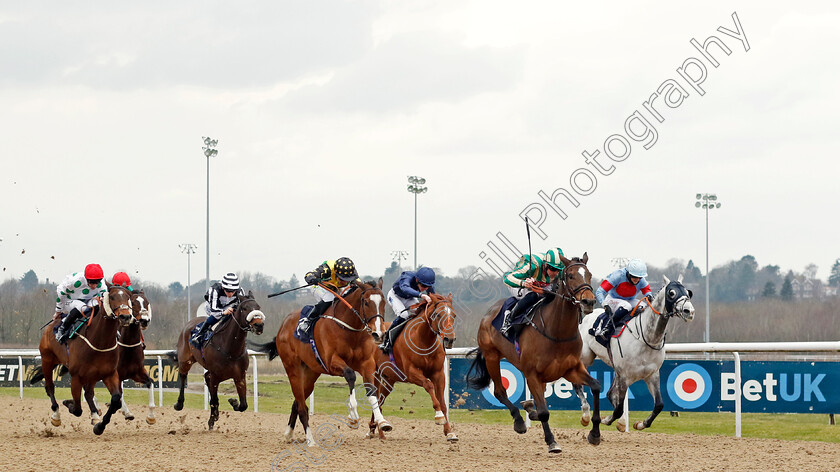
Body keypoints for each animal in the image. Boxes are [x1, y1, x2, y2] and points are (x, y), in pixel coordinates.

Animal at [31, 284, 133, 436]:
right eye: (113, 297)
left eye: (128, 297)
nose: (125, 316)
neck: (99, 342)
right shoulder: (76, 377)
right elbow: (77, 408)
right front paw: (68, 403)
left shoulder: (109, 373)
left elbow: (115, 400)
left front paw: (100, 426)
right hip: (47, 360)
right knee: (50, 387)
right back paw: (56, 416)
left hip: (91, 375)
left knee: (89, 393)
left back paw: (95, 416)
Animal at [171, 290, 262, 430]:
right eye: (245, 308)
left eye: (258, 307)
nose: (259, 325)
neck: (230, 349)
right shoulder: (215, 376)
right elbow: (214, 399)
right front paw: (212, 419)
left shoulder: (239, 376)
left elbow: (243, 405)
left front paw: (233, 401)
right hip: (185, 360)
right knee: (183, 376)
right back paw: (179, 404)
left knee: (206, 377)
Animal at [249, 278, 390, 448]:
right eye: (366, 302)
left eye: (383, 302)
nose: (379, 333)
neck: (349, 329)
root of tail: (282, 326)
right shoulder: (331, 362)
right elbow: (350, 375)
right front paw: (353, 416)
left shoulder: (366, 363)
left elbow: (371, 390)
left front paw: (382, 421)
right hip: (293, 370)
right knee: (302, 407)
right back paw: (310, 440)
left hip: (311, 373)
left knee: (297, 402)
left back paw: (288, 434)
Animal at [370, 292, 460, 442]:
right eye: (437, 315)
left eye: (454, 315)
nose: (449, 339)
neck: (423, 340)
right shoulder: (412, 373)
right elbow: (429, 385)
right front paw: (439, 416)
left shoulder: (438, 374)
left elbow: (442, 402)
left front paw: (449, 432)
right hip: (375, 374)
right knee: (376, 398)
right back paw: (379, 430)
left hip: (389, 379)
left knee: (380, 400)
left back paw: (376, 429)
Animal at [466, 253, 604, 452]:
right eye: (570, 276)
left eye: (589, 275)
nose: (589, 301)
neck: (557, 333)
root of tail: (488, 313)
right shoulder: (532, 374)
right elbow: (544, 412)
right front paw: (552, 441)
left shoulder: (571, 369)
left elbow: (595, 386)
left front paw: (594, 434)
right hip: (492, 356)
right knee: (500, 392)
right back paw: (519, 421)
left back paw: (529, 408)